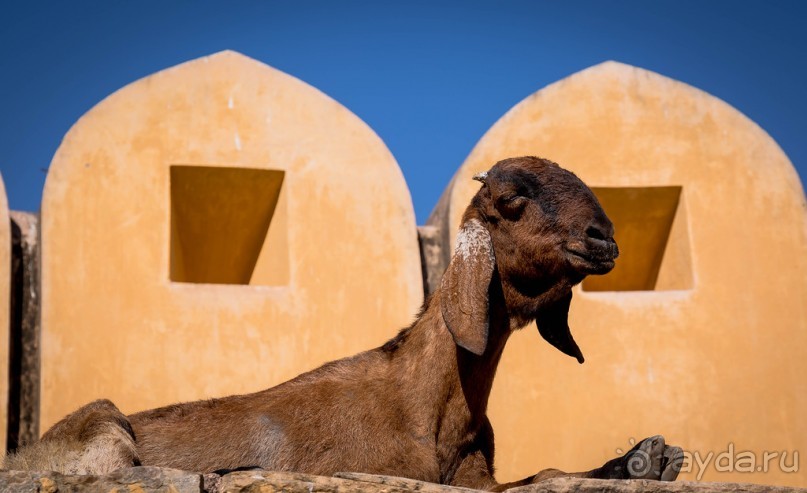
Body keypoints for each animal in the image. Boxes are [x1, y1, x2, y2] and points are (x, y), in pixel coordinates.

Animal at [6, 157, 680, 488]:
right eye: (512, 201)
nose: (604, 238)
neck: (428, 402)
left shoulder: (475, 477)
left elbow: (544, 474)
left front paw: (644, 460)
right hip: (104, 422)